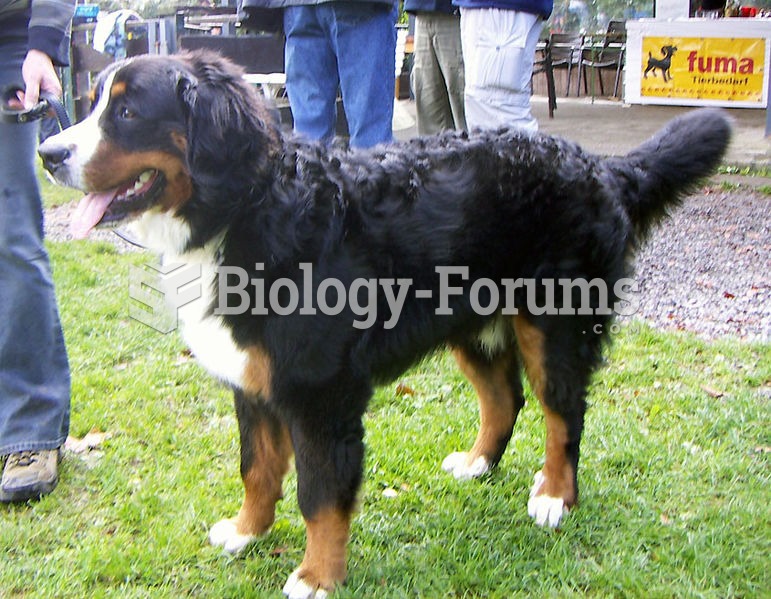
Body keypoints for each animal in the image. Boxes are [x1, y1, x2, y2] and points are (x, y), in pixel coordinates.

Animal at [40, 51, 728, 599]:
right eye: (95, 104)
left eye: (128, 113)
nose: (48, 153)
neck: (247, 211)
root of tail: (596, 164)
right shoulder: (253, 381)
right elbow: (257, 467)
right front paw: (245, 531)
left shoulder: (320, 395)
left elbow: (320, 494)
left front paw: (317, 576)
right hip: (471, 324)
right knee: (503, 400)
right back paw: (478, 463)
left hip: (554, 323)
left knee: (563, 414)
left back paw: (556, 496)